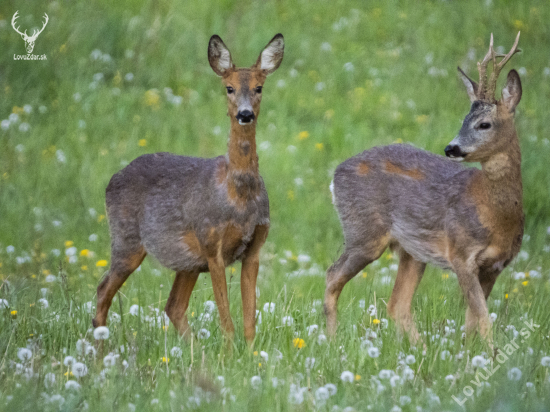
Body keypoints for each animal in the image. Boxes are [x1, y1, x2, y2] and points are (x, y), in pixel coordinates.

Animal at [91, 33, 284, 344]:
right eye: (229, 88)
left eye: (259, 87)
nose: (245, 114)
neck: (238, 196)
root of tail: (113, 178)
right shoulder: (211, 243)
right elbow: (226, 318)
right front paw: (230, 351)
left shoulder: (254, 247)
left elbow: (249, 319)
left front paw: (250, 351)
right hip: (126, 240)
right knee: (102, 290)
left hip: (186, 261)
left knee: (173, 306)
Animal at [328, 33, 528, 344]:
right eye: (463, 120)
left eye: (484, 124)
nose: (451, 148)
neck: (495, 215)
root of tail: (336, 174)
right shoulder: (461, 254)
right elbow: (483, 320)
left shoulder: (496, 265)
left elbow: (473, 322)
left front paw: (468, 353)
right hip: (364, 233)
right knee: (332, 276)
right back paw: (331, 340)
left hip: (412, 250)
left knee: (397, 304)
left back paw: (419, 349)